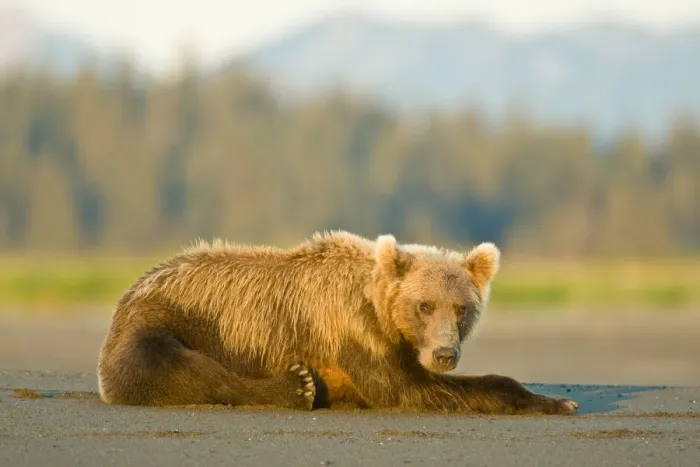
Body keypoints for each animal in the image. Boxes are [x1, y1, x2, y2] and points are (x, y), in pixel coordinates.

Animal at [96, 230, 579, 415]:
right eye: (424, 306)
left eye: (461, 308)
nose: (445, 353)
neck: (377, 307)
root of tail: (126, 294)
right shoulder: (349, 329)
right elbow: (408, 389)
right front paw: (557, 402)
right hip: (164, 322)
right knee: (178, 367)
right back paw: (297, 386)